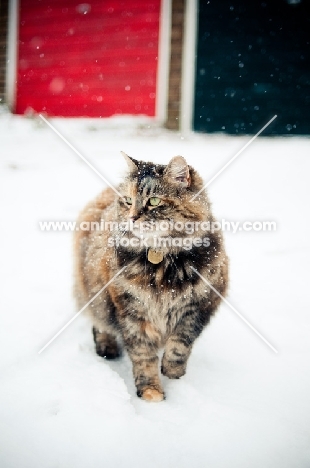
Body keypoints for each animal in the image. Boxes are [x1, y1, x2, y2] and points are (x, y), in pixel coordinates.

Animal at [72, 154, 228, 402]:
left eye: (153, 201)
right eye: (128, 201)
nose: (132, 217)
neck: (163, 265)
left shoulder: (198, 306)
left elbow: (180, 345)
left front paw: (173, 373)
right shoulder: (131, 311)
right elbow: (143, 356)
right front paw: (151, 392)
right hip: (95, 294)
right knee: (99, 323)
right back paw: (107, 348)